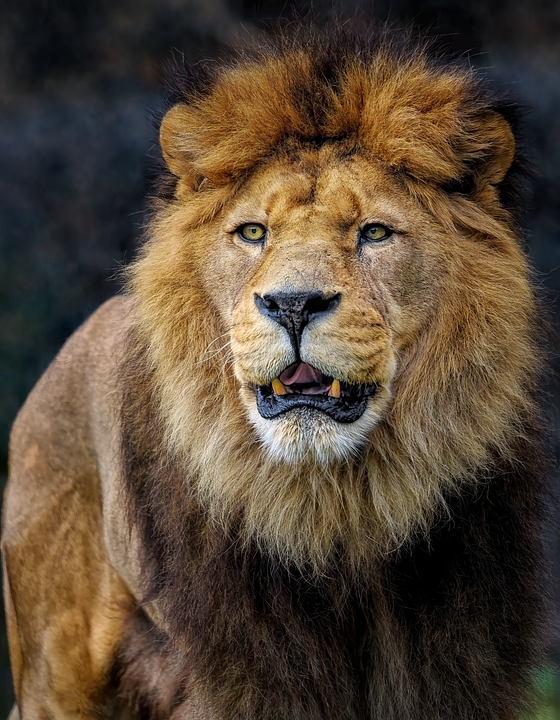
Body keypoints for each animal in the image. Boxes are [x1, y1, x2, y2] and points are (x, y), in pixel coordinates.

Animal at [0, 26, 548, 720]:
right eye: (253, 232)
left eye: (375, 232)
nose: (293, 304)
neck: (342, 510)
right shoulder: (244, 675)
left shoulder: (452, 668)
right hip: (54, 669)